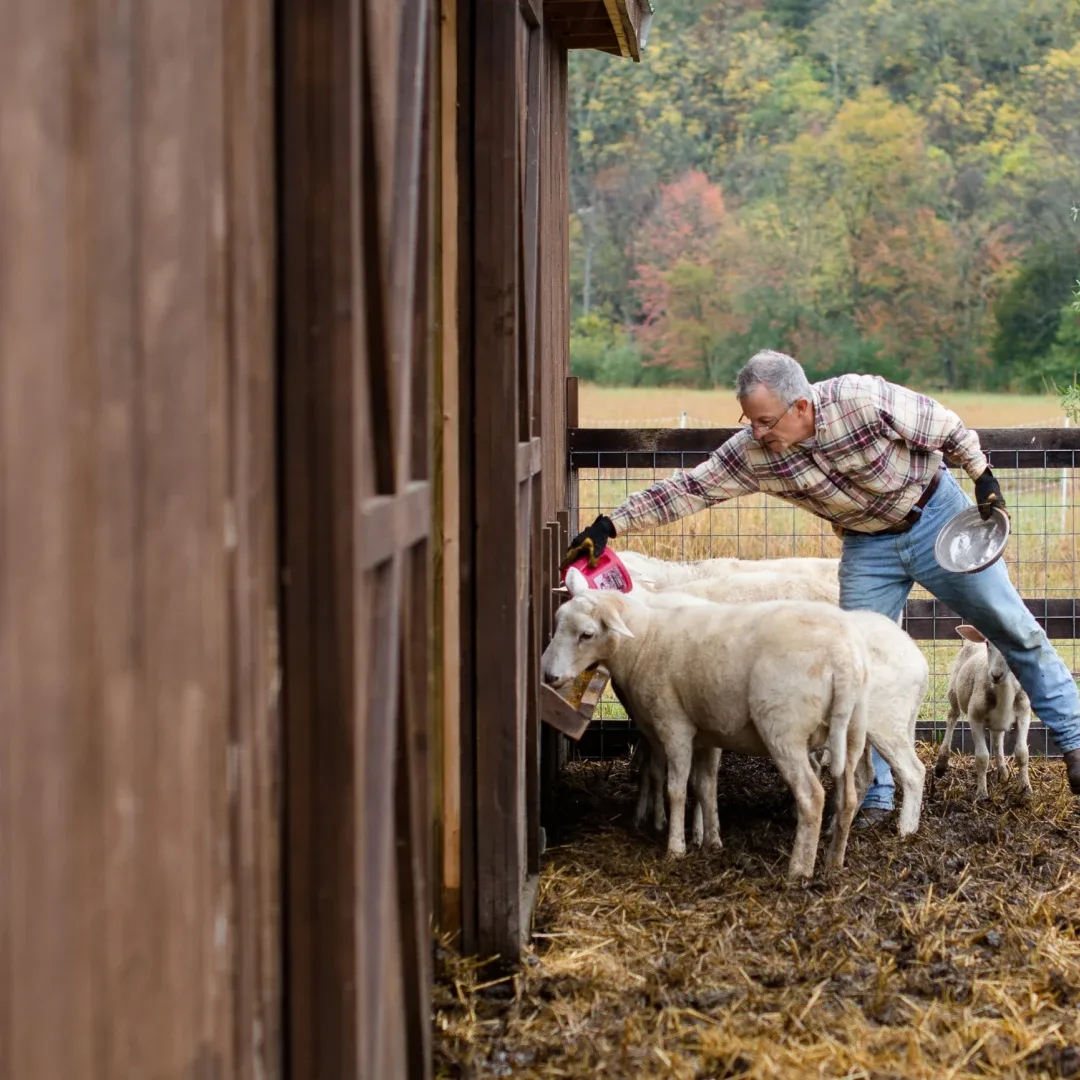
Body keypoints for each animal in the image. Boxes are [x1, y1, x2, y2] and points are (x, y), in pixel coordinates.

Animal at [540, 570, 868, 881]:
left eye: (587, 634)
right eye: (558, 621)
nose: (548, 676)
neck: (644, 641)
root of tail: (842, 660)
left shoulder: (674, 724)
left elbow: (676, 789)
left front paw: (676, 848)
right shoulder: (709, 733)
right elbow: (706, 787)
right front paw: (711, 842)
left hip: (784, 729)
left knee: (812, 797)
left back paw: (800, 870)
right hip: (852, 731)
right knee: (849, 796)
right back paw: (835, 862)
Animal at [933, 626, 1032, 803]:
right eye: (987, 644)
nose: (996, 675)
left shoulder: (1024, 714)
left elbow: (1022, 753)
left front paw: (1026, 789)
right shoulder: (975, 717)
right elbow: (982, 758)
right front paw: (982, 794)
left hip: (997, 721)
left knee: (997, 737)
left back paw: (1002, 772)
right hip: (954, 690)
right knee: (952, 717)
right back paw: (941, 764)